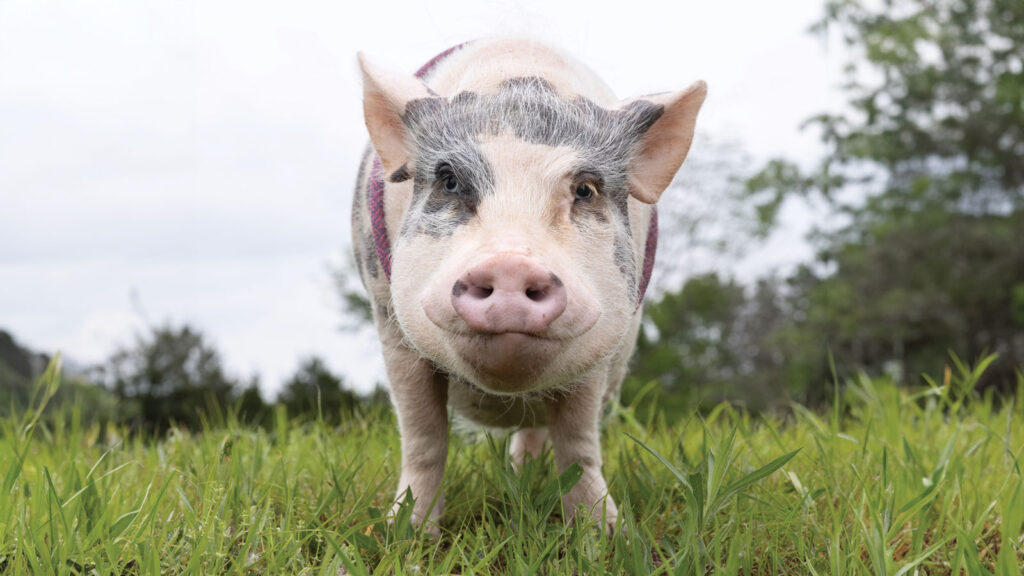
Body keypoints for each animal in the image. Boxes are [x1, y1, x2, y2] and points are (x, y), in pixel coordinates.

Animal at [352, 38, 704, 532]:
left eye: (585, 190)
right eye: (450, 181)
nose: (511, 265)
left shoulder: (599, 351)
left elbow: (578, 446)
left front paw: (608, 535)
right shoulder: (392, 328)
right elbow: (424, 439)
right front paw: (404, 534)